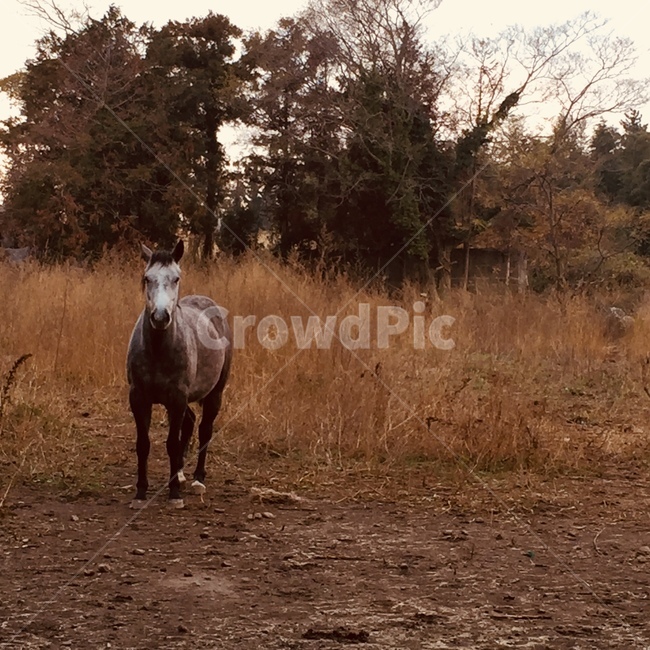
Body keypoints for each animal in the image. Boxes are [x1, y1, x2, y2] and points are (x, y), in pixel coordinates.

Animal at [126, 240, 232, 509]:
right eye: (147, 278)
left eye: (176, 278)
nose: (160, 317)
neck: (158, 349)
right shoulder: (139, 398)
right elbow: (143, 444)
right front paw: (140, 492)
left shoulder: (176, 399)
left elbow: (172, 444)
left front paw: (174, 494)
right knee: (191, 422)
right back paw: (182, 474)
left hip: (215, 393)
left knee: (205, 430)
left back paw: (197, 479)